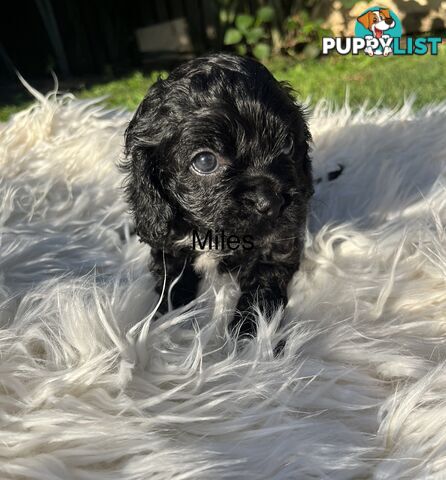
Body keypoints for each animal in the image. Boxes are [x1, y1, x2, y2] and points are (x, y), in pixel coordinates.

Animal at [122, 53, 314, 338]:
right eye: (205, 161)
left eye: (288, 145)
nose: (271, 202)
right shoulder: (166, 238)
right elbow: (171, 279)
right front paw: (165, 322)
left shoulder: (279, 239)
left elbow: (263, 282)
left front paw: (251, 337)